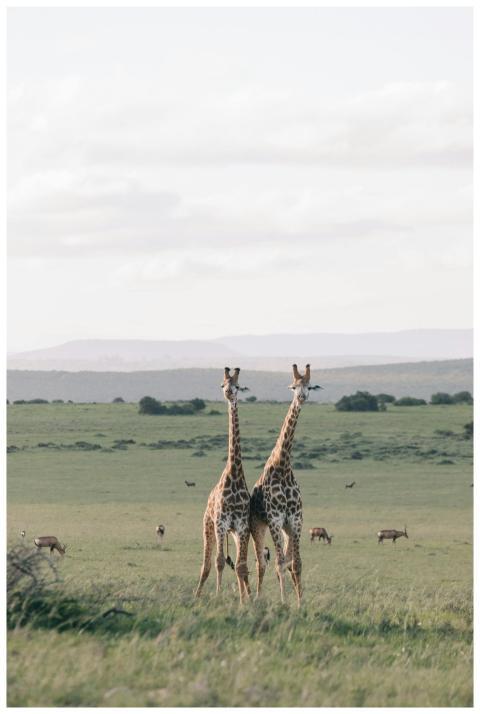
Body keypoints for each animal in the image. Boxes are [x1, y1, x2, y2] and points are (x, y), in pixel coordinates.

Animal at [250, 364, 321, 606]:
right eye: (293, 387)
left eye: (309, 386)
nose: (301, 398)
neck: (283, 466)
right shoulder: (274, 519)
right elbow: (280, 563)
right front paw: (283, 601)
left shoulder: (296, 520)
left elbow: (296, 564)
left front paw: (300, 603)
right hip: (258, 527)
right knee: (261, 562)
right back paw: (258, 597)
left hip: (286, 529)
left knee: (285, 560)